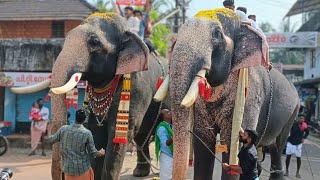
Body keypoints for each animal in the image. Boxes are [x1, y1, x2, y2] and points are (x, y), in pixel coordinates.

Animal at [162, 8, 300, 180]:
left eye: (217, 34)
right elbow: (202, 142)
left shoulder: (252, 92)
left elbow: (232, 141)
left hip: (292, 113)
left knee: (278, 147)